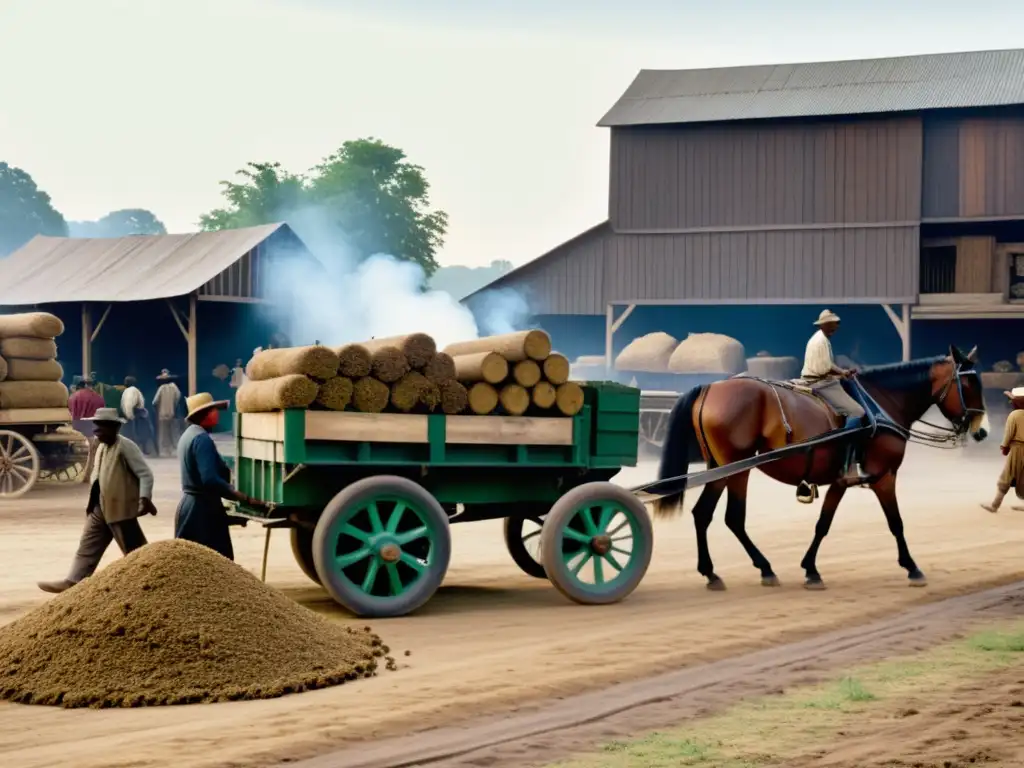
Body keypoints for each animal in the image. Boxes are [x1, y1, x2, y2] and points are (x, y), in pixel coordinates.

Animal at [651, 346, 987, 593]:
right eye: (968, 384)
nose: (982, 431)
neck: (879, 404)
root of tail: (711, 386)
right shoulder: (884, 475)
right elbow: (896, 523)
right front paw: (912, 567)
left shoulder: (840, 480)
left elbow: (823, 524)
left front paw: (811, 570)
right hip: (736, 468)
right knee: (732, 517)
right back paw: (763, 568)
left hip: (719, 468)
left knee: (703, 514)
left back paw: (712, 573)